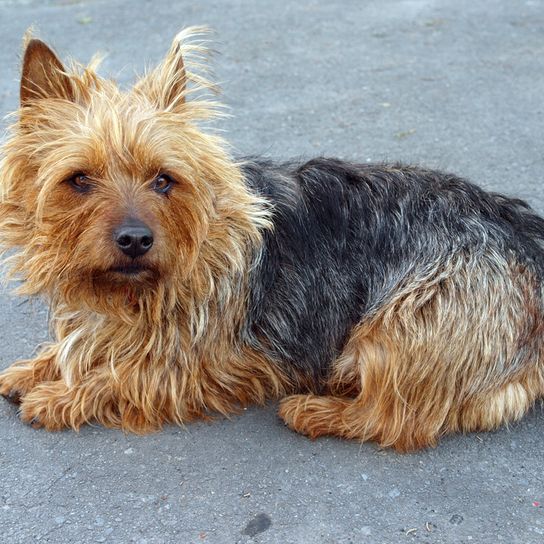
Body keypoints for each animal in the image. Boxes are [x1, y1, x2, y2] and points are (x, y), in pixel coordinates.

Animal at [1, 29, 544, 450]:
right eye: (79, 179)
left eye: (163, 179)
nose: (135, 240)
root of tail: (526, 238)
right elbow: (79, 344)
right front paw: (37, 367)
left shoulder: (215, 361)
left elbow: (129, 372)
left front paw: (61, 395)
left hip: (405, 323)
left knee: (397, 420)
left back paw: (316, 410)